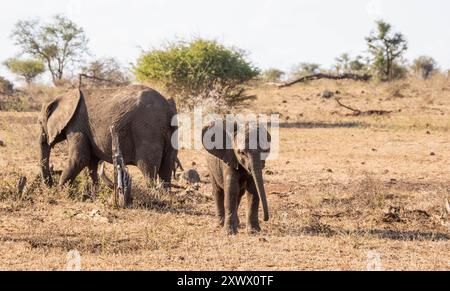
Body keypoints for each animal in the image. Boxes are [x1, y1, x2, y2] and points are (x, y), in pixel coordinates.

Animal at [38, 85, 178, 197]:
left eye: (39, 122)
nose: (49, 185)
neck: (62, 96)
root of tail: (168, 109)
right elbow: (92, 163)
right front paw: (93, 195)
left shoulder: (77, 125)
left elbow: (79, 159)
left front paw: (61, 193)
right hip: (170, 131)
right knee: (167, 166)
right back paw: (166, 197)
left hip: (147, 130)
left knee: (148, 168)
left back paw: (153, 197)